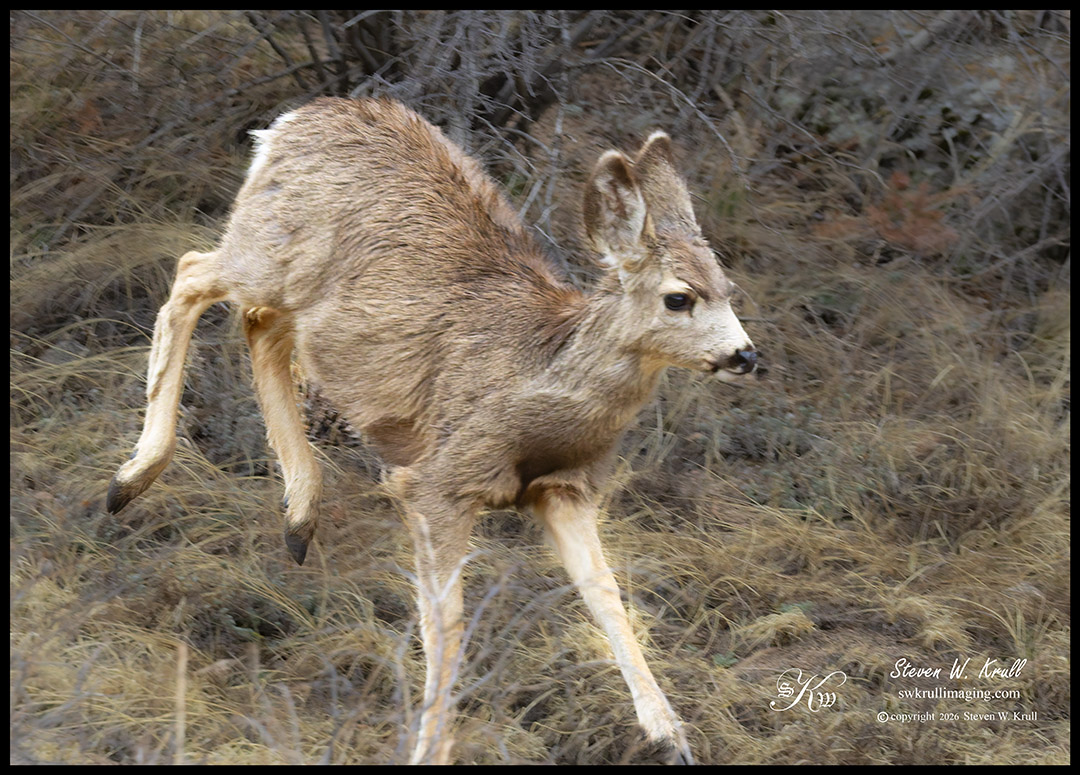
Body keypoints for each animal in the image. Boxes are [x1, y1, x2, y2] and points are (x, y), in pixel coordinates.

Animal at [106, 97, 758, 765]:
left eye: (728, 289)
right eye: (679, 298)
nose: (745, 355)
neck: (537, 390)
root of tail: (293, 122)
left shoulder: (565, 489)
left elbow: (605, 591)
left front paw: (668, 731)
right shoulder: (438, 483)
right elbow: (446, 621)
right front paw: (430, 747)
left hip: (299, 296)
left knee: (260, 327)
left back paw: (299, 515)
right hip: (264, 251)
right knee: (191, 273)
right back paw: (131, 479)